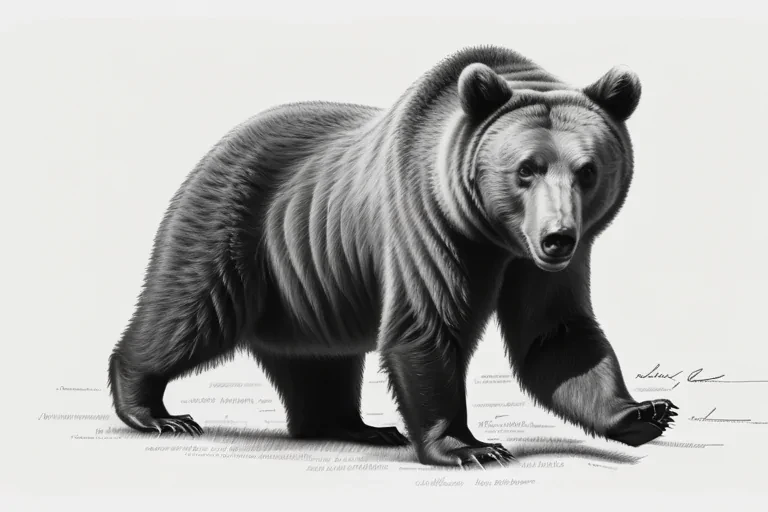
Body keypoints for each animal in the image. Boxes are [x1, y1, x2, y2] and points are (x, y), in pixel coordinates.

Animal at [108, 45, 677, 469]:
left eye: (587, 170)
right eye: (525, 169)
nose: (557, 237)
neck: (496, 236)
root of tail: (220, 143)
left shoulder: (541, 265)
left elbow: (555, 334)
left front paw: (644, 412)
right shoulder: (429, 226)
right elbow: (427, 325)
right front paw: (469, 446)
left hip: (310, 280)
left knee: (319, 359)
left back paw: (357, 427)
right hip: (233, 225)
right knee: (191, 312)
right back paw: (153, 409)